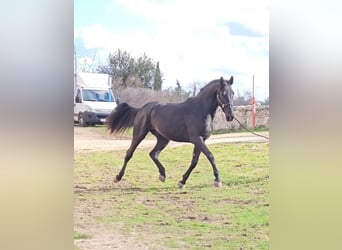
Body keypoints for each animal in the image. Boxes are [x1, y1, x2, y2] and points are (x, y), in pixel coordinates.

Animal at [107, 76, 235, 188]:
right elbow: (210, 156)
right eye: (223, 93)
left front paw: (182, 182)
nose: (230, 116)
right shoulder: (197, 139)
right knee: (129, 153)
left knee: (153, 154)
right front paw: (218, 180)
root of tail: (141, 109)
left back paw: (163, 175)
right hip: (139, 134)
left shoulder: (201, 140)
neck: (200, 110)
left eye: (233, 93)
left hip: (163, 139)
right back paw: (118, 177)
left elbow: (194, 162)